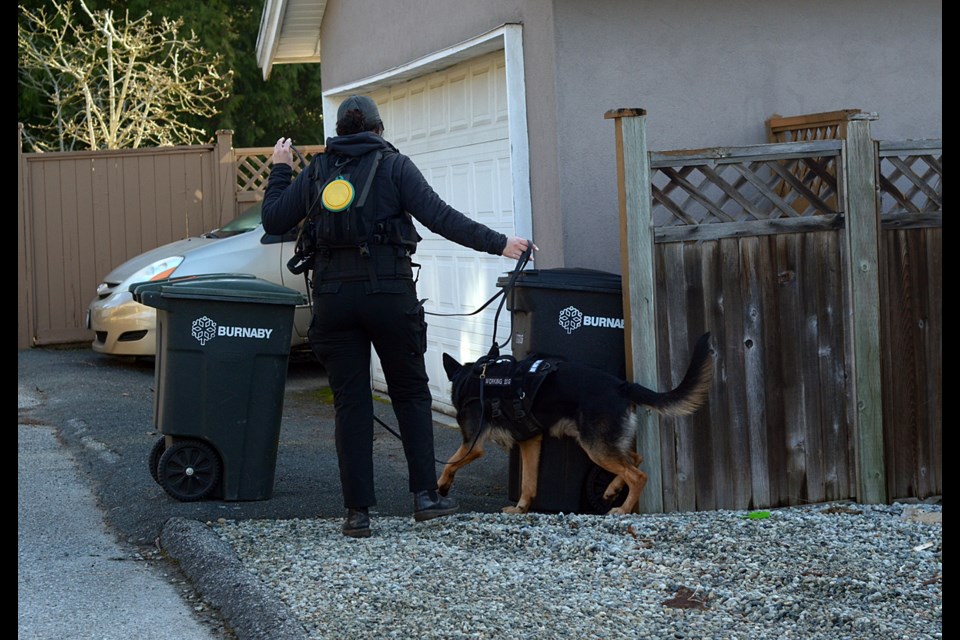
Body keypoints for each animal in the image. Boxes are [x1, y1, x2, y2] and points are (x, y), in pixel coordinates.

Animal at [436, 336, 712, 516]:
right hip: (603, 444)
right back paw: (612, 490)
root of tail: (622, 386)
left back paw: (622, 509)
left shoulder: (473, 445)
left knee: (637, 475)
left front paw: (441, 486)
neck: (475, 379)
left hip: (595, 447)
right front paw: (521, 508)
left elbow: (450, 462)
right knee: (635, 459)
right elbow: (528, 482)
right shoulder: (530, 441)